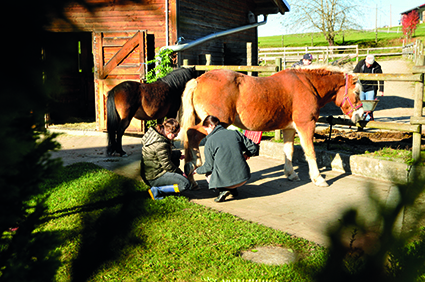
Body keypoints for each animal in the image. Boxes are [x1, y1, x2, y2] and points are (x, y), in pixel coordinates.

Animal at [181, 66, 362, 187]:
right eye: (357, 92)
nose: (360, 115)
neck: (308, 84)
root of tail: (198, 80)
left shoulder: (289, 128)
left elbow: (289, 151)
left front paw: (290, 173)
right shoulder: (306, 125)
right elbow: (310, 151)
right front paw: (318, 178)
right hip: (213, 122)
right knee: (192, 135)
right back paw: (194, 166)